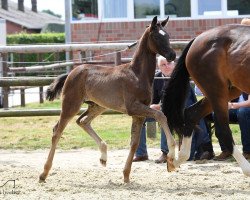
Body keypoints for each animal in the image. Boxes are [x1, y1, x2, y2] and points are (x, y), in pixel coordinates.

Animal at [39, 16, 176, 184]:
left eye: (167, 36)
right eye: (156, 36)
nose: (172, 55)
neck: (137, 74)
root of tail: (71, 73)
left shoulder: (139, 114)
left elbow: (134, 143)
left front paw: (126, 175)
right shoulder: (133, 107)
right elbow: (160, 115)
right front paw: (171, 158)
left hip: (97, 106)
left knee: (82, 121)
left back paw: (103, 156)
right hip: (71, 105)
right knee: (57, 131)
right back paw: (44, 173)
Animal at [161, 21, 250, 175]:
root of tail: (197, 40)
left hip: (227, 91)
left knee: (191, 114)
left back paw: (176, 160)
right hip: (217, 91)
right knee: (223, 130)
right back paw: (247, 170)